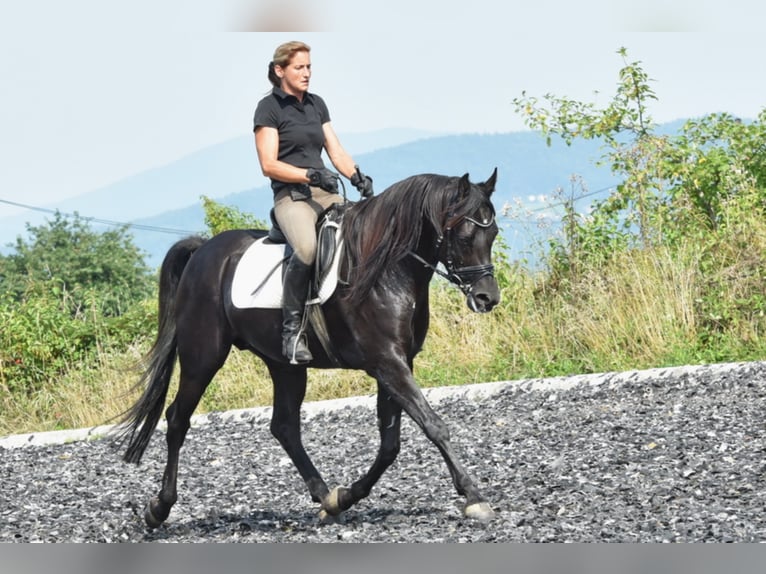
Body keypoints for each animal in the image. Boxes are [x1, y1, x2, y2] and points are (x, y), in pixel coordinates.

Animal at [116, 168, 501, 528]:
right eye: (465, 234)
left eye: (493, 233)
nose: (487, 298)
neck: (386, 271)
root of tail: (203, 251)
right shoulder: (387, 362)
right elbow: (433, 425)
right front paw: (474, 497)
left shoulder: (396, 362)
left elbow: (390, 444)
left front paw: (345, 496)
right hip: (203, 357)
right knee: (177, 419)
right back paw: (159, 508)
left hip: (284, 364)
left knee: (284, 426)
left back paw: (326, 498)